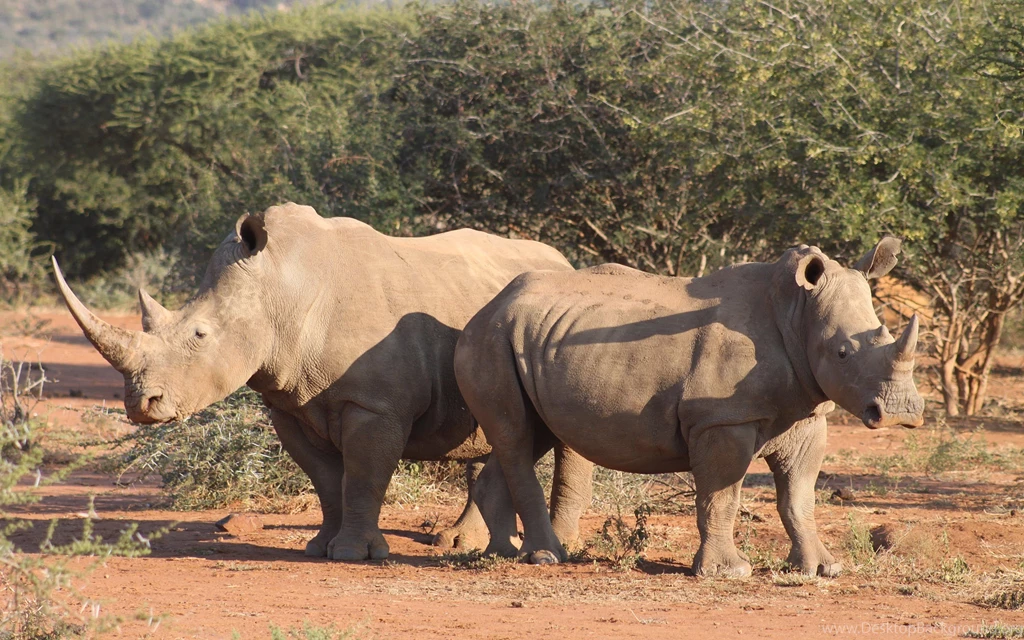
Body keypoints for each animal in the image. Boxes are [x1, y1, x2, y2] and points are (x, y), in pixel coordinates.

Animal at [52, 202, 593, 561]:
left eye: (200, 335)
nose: (141, 405)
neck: (278, 288)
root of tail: (565, 263)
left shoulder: (375, 405)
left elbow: (365, 475)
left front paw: (353, 554)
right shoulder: (289, 403)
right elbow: (327, 480)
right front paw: (318, 546)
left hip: (556, 333)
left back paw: (556, 545)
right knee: (491, 429)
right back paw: (463, 543)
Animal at [455, 238, 925, 577]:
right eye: (843, 353)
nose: (900, 413)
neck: (796, 310)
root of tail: (488, 305)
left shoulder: (806, 413)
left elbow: (799, 496)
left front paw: (822, 569)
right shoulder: (721, 420)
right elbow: (722, 495)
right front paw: (728, 573)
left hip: (527, 338)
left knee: (532, 433)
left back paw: (502, 553)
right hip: (489, 338)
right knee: (517, 436)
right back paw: (546, 557)